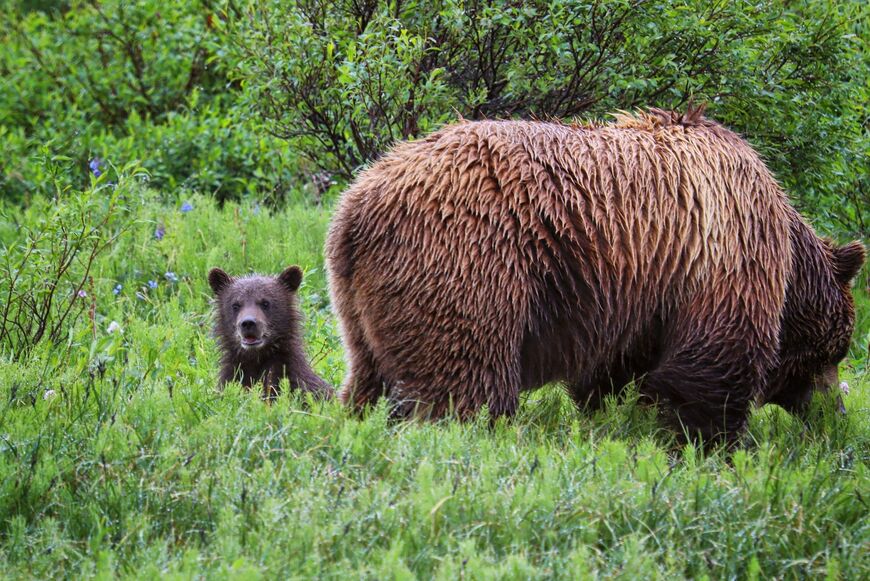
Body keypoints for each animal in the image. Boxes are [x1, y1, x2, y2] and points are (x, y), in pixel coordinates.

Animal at [326, 109, 864, 442]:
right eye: (837, 352)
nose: (835, 416)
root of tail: (355, 206)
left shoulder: (634, 293)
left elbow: (611, 371)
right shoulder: (718, 253)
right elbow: (711, 367)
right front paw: (710, 444)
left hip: (363, 304)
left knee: (368, 378)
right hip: (470, 257)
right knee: (466, 380)